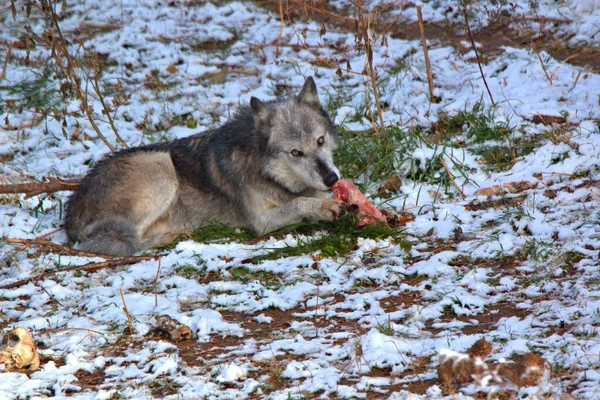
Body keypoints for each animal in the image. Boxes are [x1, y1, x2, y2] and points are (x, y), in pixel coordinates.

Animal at [63, 76, 344, 255]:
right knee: (128, 244)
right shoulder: (261, 223)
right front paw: (324, 207)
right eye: (296, 153)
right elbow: (300, 203)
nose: (332, 179)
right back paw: (175, 237)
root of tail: (72, 207)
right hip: (161, 166)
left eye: (320, 140)